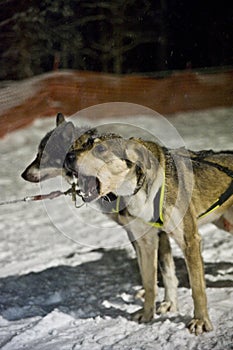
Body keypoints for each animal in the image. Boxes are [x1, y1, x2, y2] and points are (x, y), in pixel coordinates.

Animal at [64, 133, 233, 334]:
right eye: (79, 146)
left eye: (101, 149)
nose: (68, 158)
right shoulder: (146, 242)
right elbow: (149, 283)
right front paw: (147, 315)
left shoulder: (189, 241)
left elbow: (197, 288)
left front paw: (200, 320)